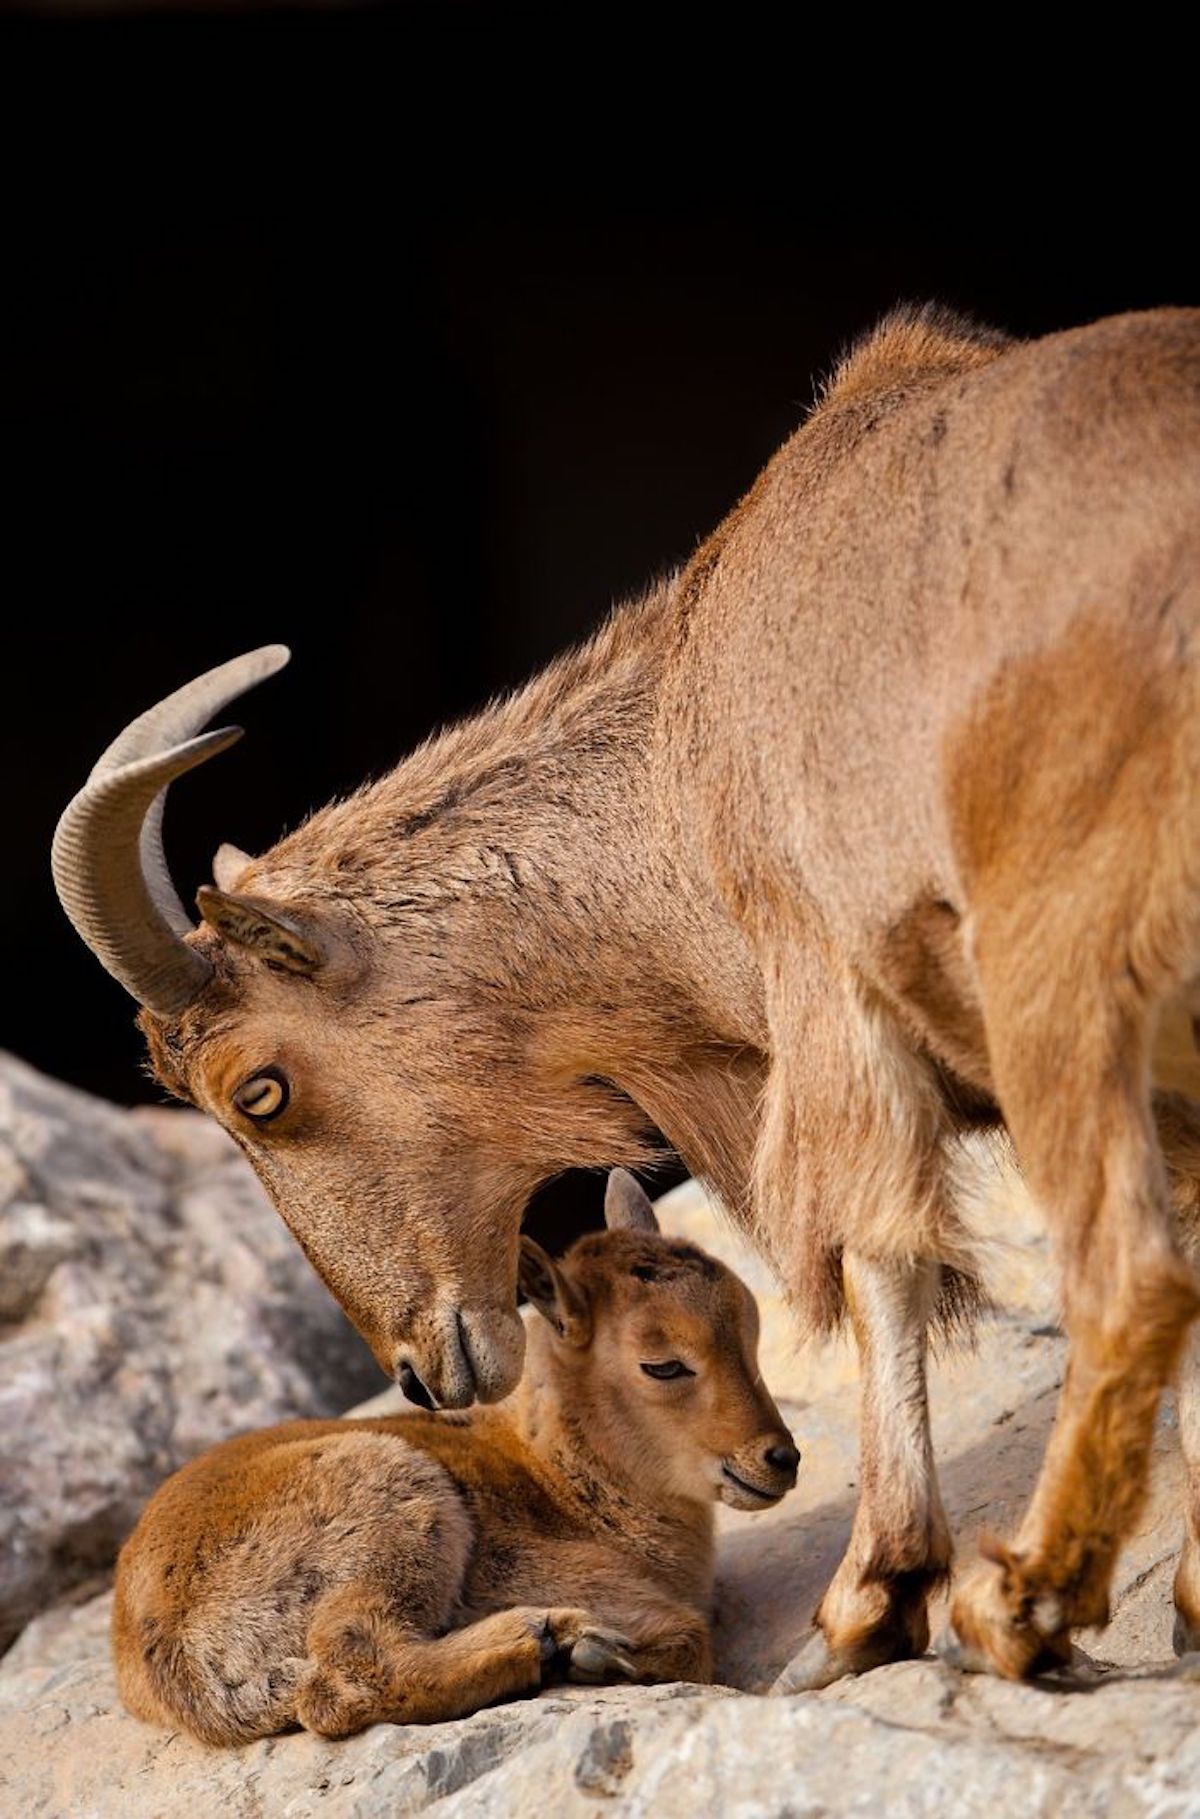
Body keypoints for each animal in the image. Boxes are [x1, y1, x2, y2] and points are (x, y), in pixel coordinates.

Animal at [56, 305, 1200, 1680]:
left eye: (259, 1091)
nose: (422, 1372)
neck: (677, 763)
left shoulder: (830, 1000)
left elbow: (880, 1262)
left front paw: (867, 1603)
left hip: (1056, 971)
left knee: (1129, 1272)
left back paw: (1017, 1603)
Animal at [112, 1171, 796, 1738]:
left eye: (751, 1331)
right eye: (663, 1365)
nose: (780, 1458)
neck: (559, 1478)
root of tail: (172, 1652)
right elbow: (690, 1635)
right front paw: (594, 1653)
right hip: (392, 1508)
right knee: (349, 1673)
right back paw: (551, 1637)